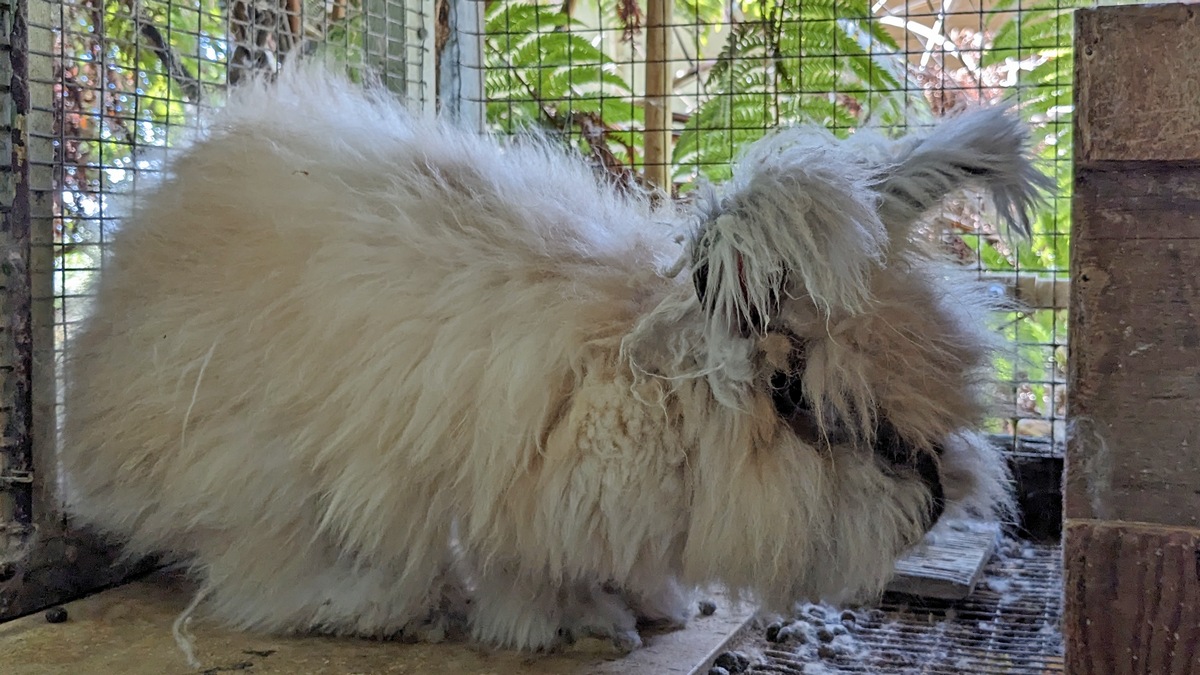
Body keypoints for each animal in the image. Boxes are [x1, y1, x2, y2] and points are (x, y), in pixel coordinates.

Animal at [58, 63, 1051, 653]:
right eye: (790, 391)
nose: (932, 499)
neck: (641, 376)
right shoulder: (514, 482)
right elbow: (527, 574)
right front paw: (576, 626)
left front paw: (654, 605)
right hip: (260, 471)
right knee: (256, 572)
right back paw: (387, 606)